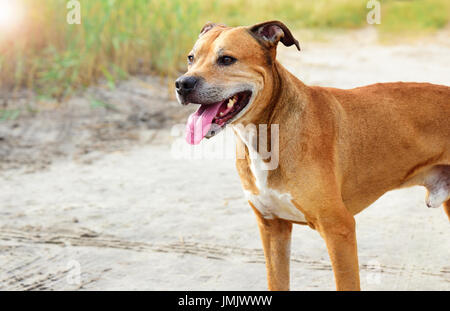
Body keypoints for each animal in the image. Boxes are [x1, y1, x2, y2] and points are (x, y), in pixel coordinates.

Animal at [176, 20, 450, 292]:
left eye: (227, 59)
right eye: (191, 58)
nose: (182, 84)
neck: (268, 132)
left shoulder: (339, 229)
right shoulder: (273, 228)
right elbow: (277, 281)